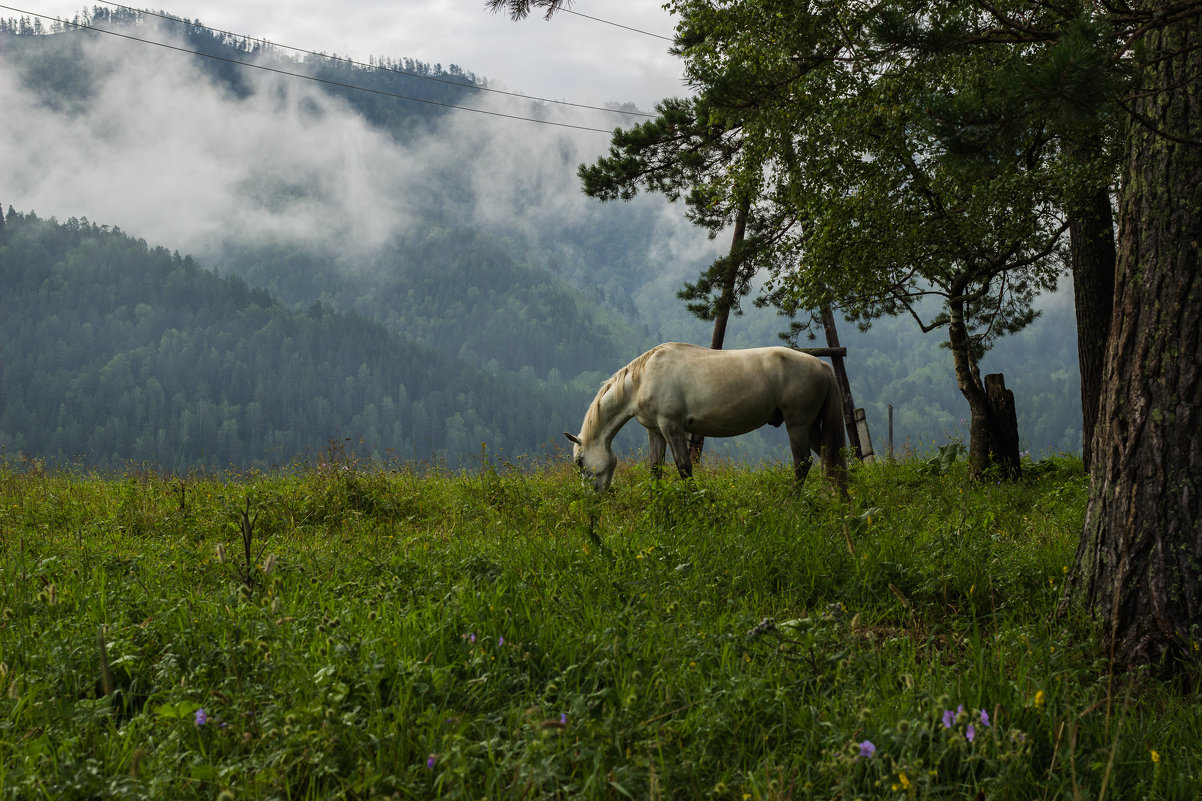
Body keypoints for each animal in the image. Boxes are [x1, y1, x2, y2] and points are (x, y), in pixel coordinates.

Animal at [567, 343, 851, 493]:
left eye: (580, 462)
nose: (591, 497)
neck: (644, 378)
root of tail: (821, 364)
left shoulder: (672, 427)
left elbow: (684, 468)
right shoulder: (656, 431)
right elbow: (655, 469)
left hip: (798, 424)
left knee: (802, 463)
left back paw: (793, 500)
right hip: (812, 427)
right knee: (829, 459)